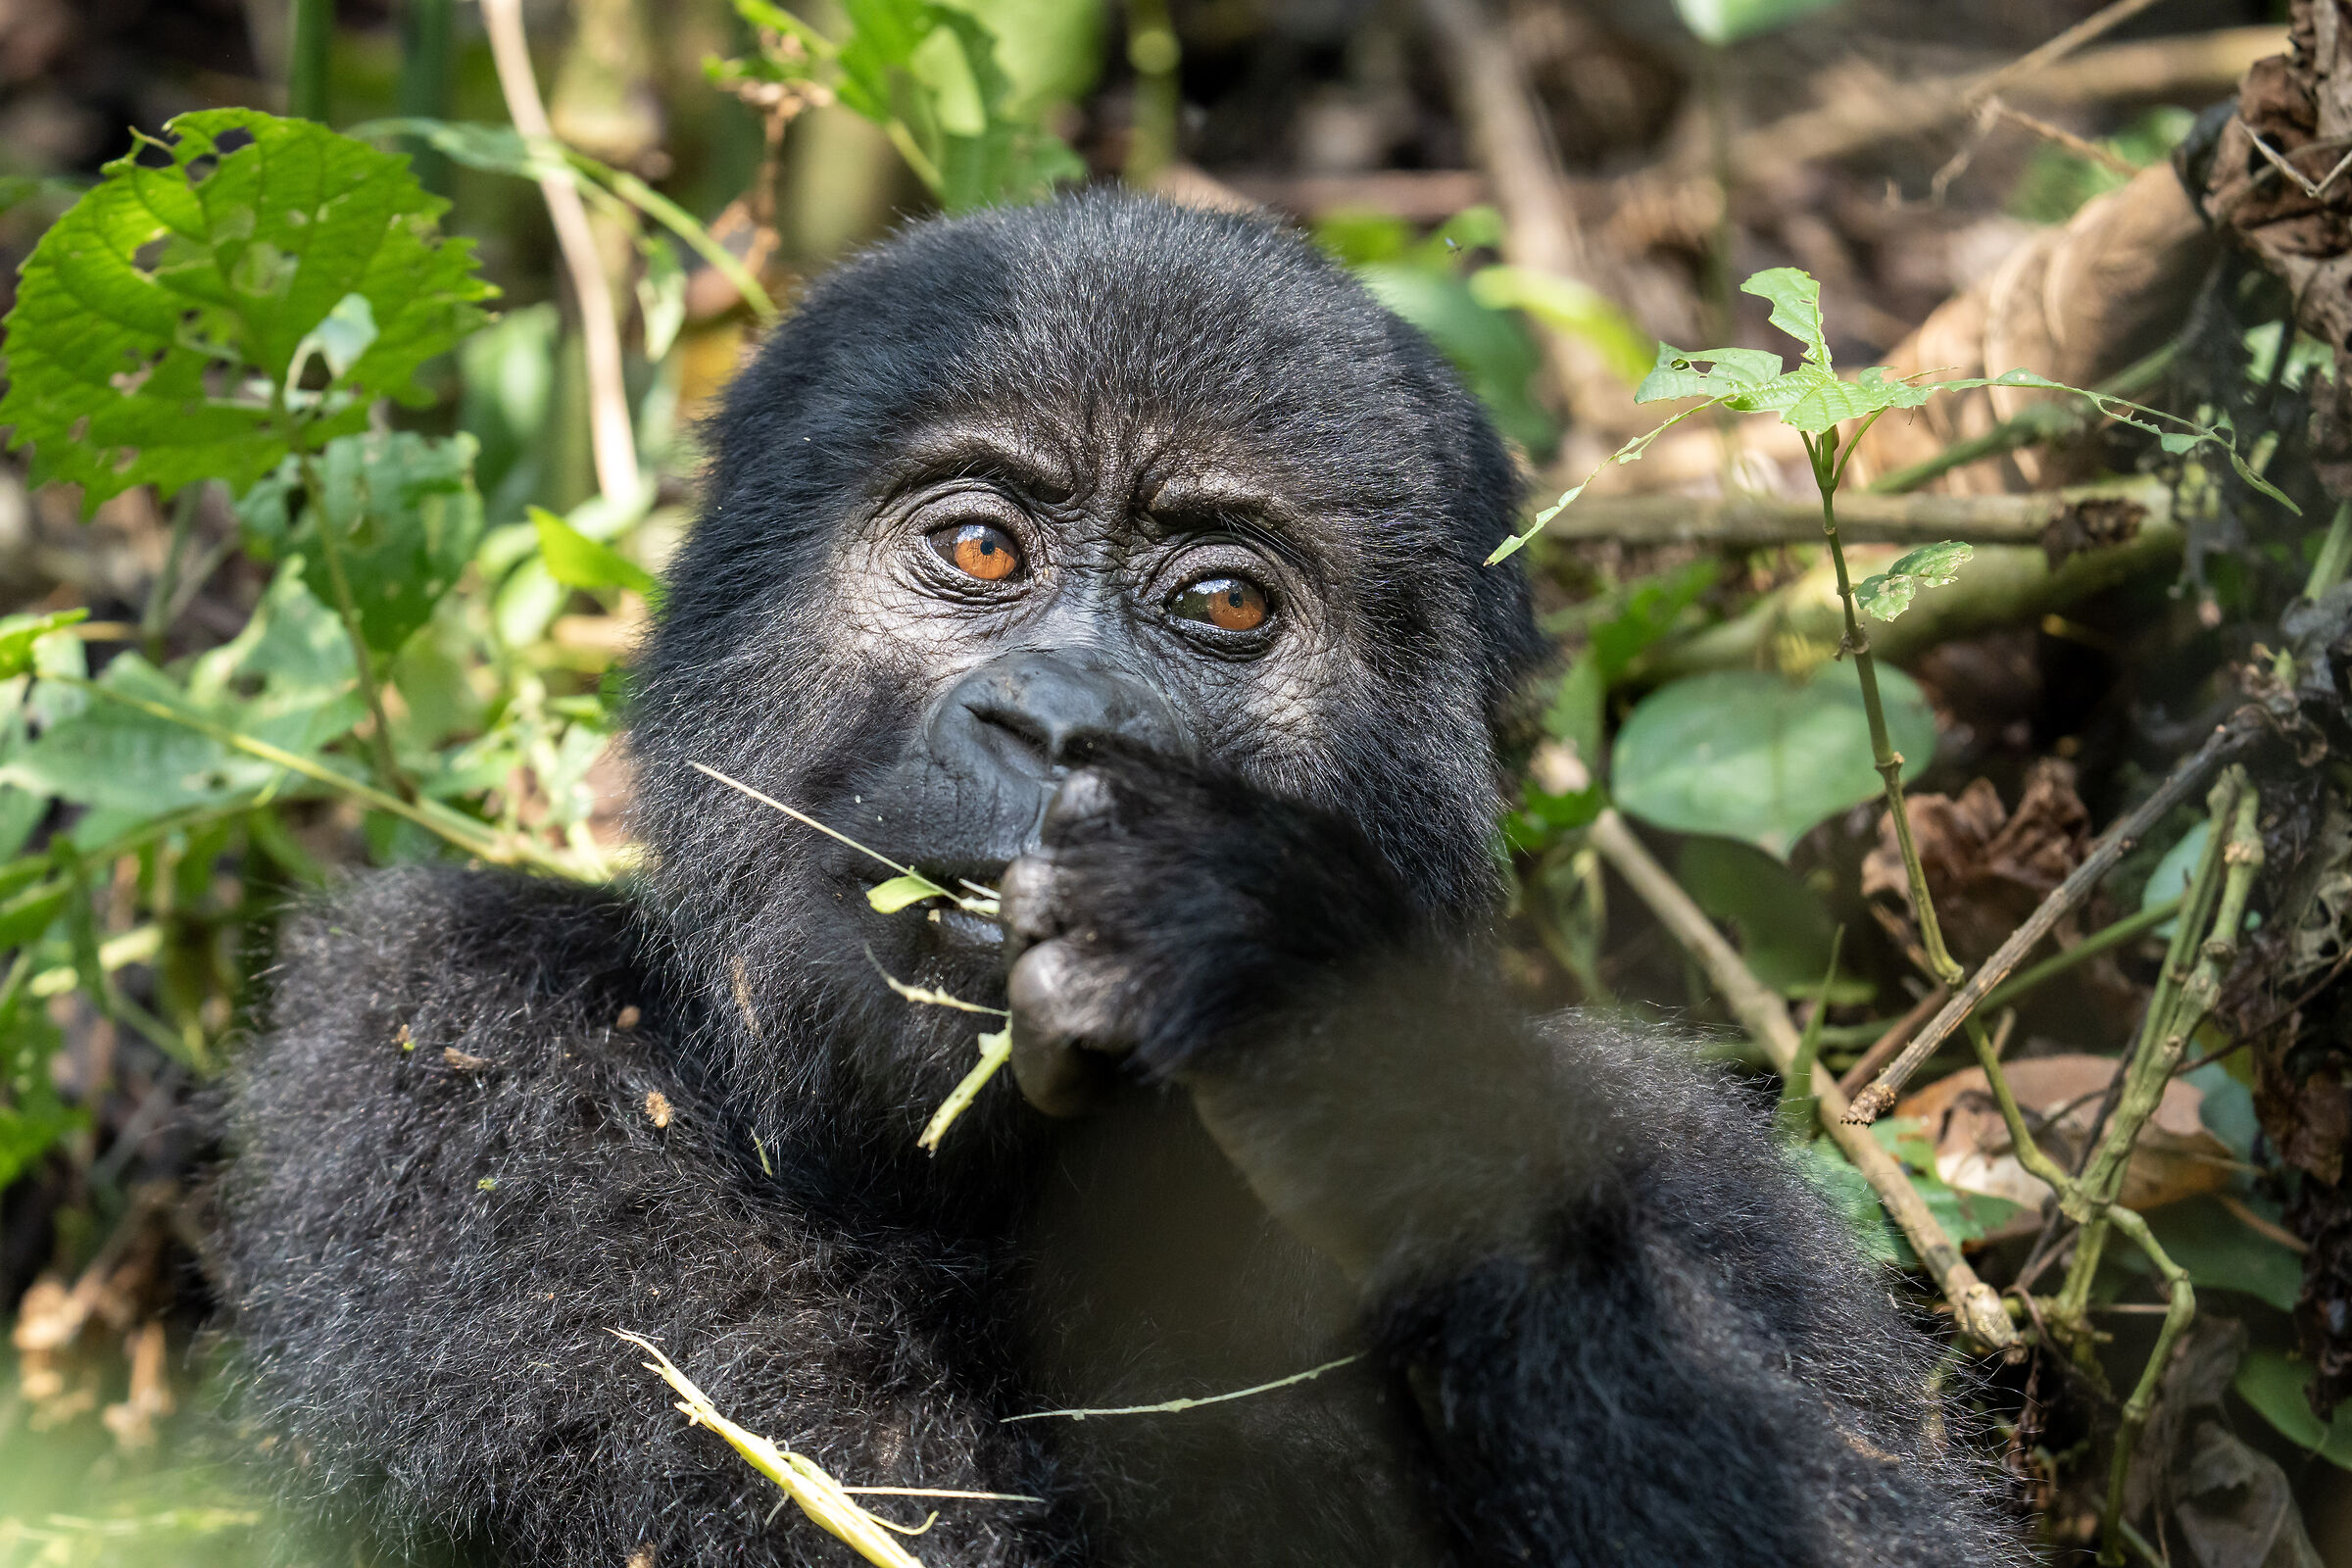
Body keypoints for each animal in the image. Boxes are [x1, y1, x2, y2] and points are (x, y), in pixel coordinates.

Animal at [216, 190, 2019, 1568]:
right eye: (981, 549)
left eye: (1223, 603)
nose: (1062, 719)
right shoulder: (437, 1025)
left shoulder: (1699, 1174)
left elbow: (1855, 1525)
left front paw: (1300, 997)